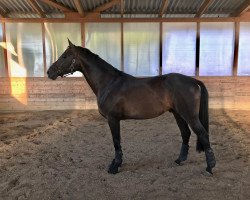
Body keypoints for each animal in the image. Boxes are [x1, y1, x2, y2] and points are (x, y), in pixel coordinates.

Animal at [47, 39, 216, 175]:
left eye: (65, 56)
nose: (49, 72)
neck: (108, 83)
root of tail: (193, 81)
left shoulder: (113, 119)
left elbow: (116, 142)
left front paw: (115, 166)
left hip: (189, 115)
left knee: (202, 134)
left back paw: (210, 167)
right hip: (177, 113)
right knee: (185, 133)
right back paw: (180, 160)